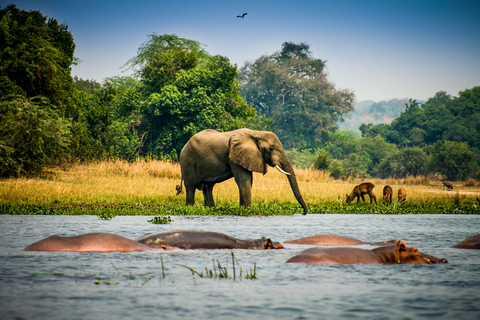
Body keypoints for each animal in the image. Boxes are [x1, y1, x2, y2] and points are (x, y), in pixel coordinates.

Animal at [176, 129, 308, 214]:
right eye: (271, 148)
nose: (304, 213)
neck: (256, 133)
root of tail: (184, 146)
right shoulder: (234, 155)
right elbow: (243, 179)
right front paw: (246, 210)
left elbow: (249, 180)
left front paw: (243, 209)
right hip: (188, 160)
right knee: (191, 186)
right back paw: (190, 208)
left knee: (208, 187)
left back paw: (210, 209)